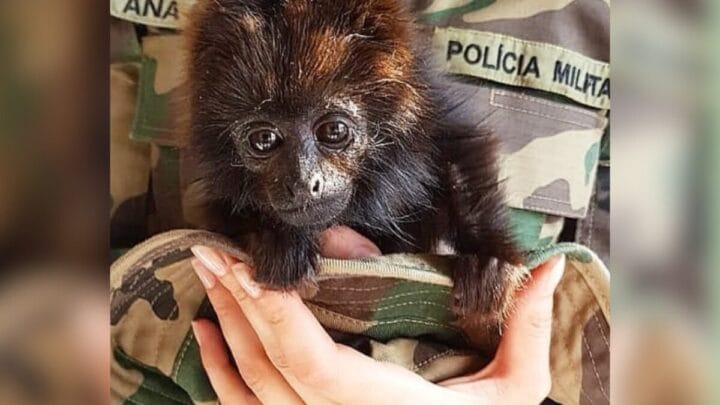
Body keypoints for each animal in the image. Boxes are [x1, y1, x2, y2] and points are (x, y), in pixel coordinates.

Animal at [181, 0, 525, 324]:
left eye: (334, 131)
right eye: (264, 139)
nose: (303, 182)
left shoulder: (433, 103)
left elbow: (460, 147)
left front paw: (488, 257)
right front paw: (277, 238)